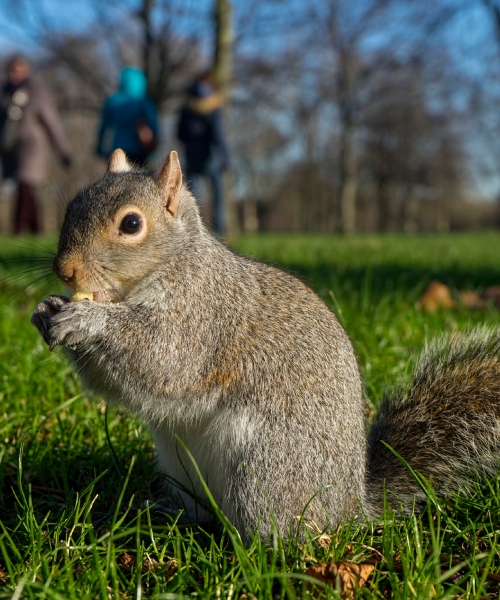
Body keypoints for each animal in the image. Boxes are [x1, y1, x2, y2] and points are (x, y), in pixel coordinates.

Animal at [31, 149, 500, 540]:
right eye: (73, 206)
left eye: (131, 224)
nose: (64, 270)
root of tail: (350, 507)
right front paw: (45, 309)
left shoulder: (203, 317)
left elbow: (164, 360)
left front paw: (86, 320)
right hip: (182, 468)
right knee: (200, 510)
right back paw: (168, 513)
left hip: (265, 468)